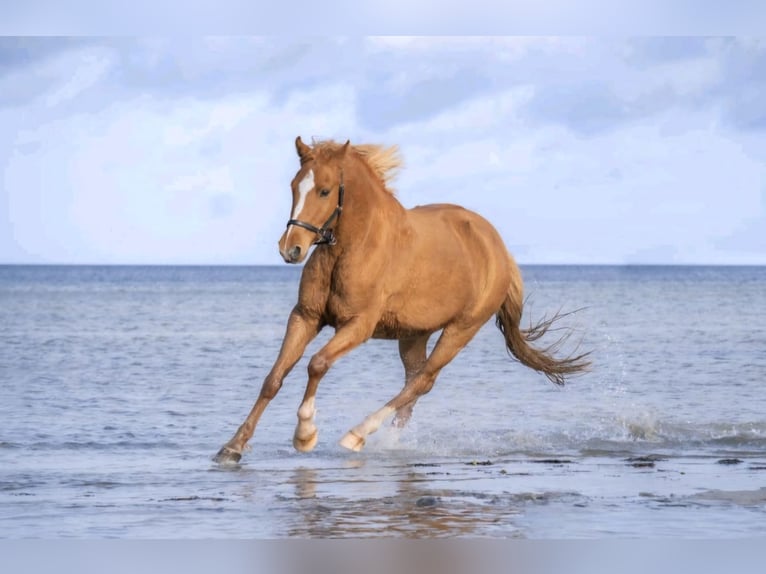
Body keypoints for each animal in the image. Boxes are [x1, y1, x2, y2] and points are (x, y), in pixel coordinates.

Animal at [214, 137, 590, 463]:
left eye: (324, 190)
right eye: (294, 187)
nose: (290, 249)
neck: (353, 247)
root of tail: (499, 249)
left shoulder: (358, 326)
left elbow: (316, 364)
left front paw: (305, 434)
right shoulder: (305, 316)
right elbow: (273, 378)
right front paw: (232, 447)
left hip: (460, 330)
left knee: (423, 382)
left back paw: (356, 435)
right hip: (413, 335)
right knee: (413, 386)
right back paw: (386, 440)